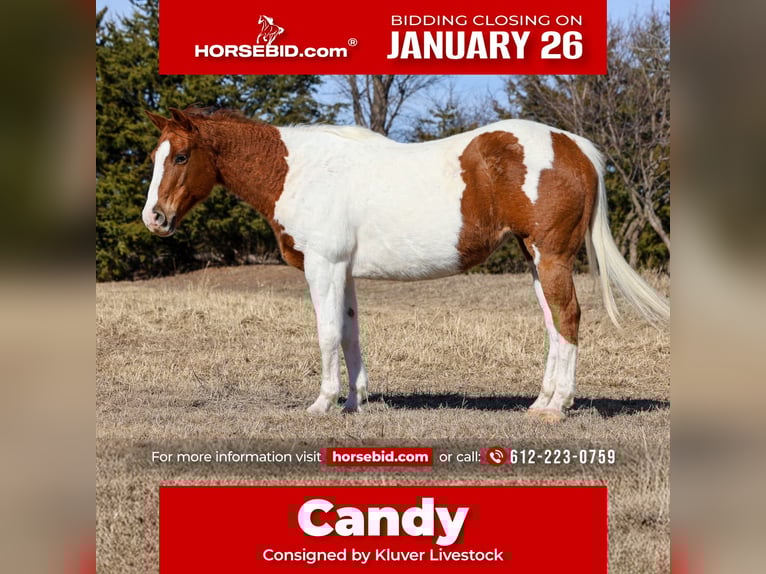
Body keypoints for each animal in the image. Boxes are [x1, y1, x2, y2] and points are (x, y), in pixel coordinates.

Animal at [142, 107, 669, 421]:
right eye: (154, 156)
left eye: (182, 156)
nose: (154, 217)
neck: (300, 171)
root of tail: (574, 145)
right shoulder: (344, 271)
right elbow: (350, 333)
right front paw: (355, 401)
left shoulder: (323, 266)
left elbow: (327, 334)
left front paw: (323, 403)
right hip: (534, 258)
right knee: (553, 323)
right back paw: (541, 401)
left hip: (552, 255)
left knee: (568, 317)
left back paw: (558, 406)